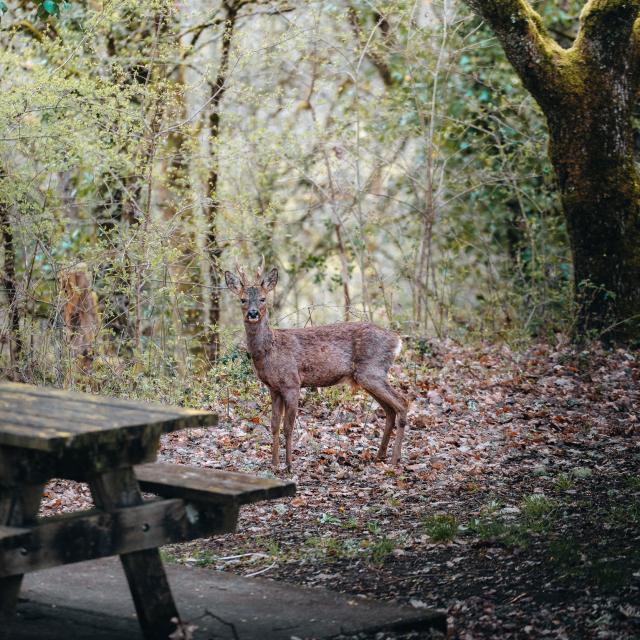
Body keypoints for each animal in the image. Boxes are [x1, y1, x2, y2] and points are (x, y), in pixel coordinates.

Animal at [222, 258, 408, 472]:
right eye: (242, 299)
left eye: (263, 299)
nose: (253, 314)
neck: (269, 350)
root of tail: (397, 340)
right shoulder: (273, 388)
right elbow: (274, 425)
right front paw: (274, 464)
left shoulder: (292, 383)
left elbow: (288, 427)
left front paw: (289, 465)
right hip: (367, 376)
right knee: (390, 410)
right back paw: (380, 456)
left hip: (372, 370)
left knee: (403, 403)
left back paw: (394, 459)